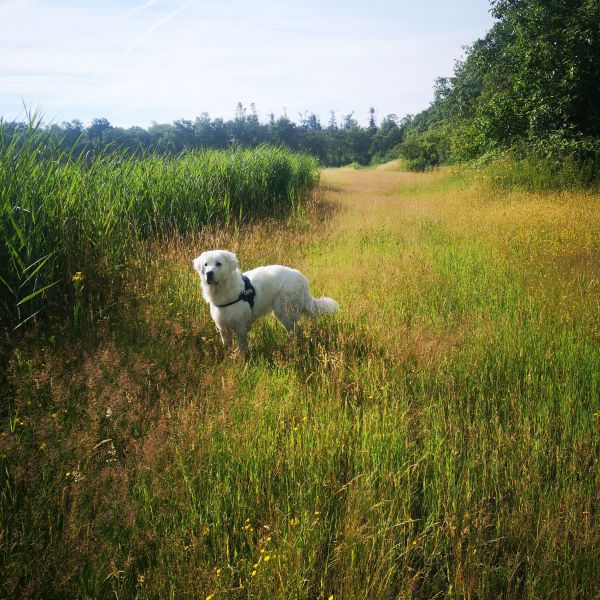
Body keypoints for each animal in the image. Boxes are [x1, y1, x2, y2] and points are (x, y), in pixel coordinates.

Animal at [195, 248, 340, 356]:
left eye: (218, 264)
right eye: (206, 265)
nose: (209, 273)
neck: (223, 290)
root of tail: (302, 278)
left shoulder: (240, 327)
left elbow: (243, 348)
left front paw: (243, 362)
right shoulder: (222, 327)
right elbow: (227, 344)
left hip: (284, 312)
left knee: (295, 331)